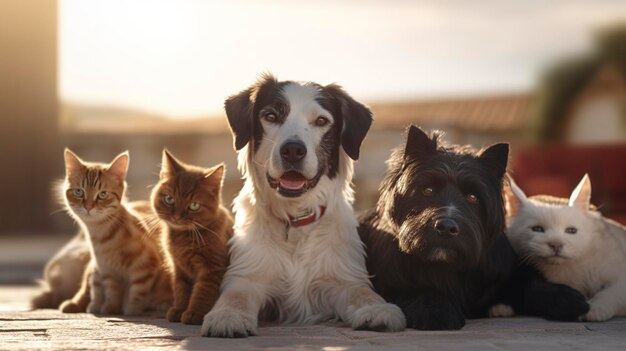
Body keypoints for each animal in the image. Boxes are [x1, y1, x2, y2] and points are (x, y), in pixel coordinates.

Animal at [59, 149, 171, 316]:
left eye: (103, 194)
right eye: (79, 192)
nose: (88, 207)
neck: (102, 236)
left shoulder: (146, 266)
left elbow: (138, 289)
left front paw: (132, 308)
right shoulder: (107, 271)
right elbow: (112, 290)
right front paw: (111, 307)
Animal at [152, 150, 234, 326]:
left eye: (194, 205)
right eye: (169, 199)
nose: (176, 217)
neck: (182, 238)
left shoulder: (212, 267)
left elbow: (203, 291)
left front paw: (194, 313)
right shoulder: (179, 268)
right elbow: (181, 290)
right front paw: (179, 310)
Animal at [201, 74, 404, 338]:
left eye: (321, 121)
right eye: (271, 116)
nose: (293, 150)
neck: (295, 219)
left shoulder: (343, 276)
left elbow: (362, 292)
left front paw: (377, 310)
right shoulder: (247, 274)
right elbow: (236, 296)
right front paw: (227, 316)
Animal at [358, 128, 588, 332]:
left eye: (472, 197)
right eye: (428, 190)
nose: (446, 227)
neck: (448, 267)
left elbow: (529, 283)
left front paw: (565, 297)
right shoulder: (391, 282)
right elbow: (414, 290)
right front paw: (436, 309)